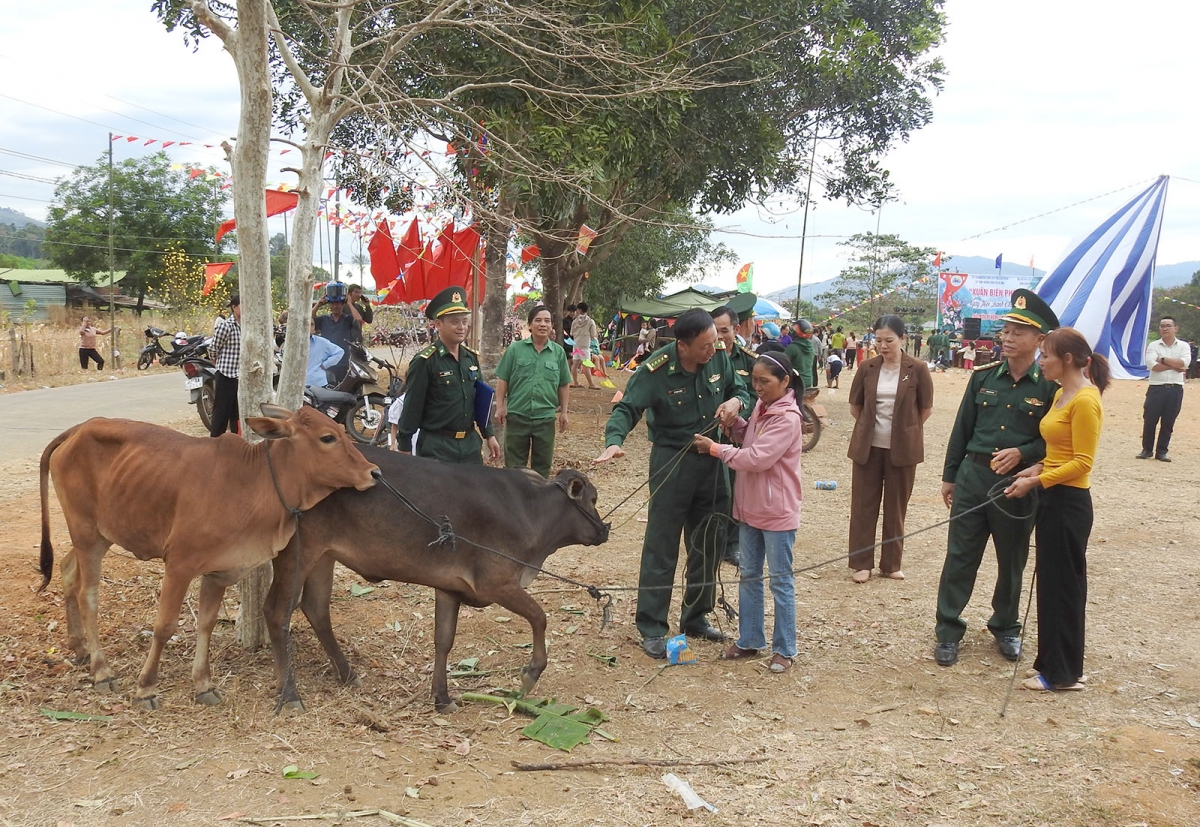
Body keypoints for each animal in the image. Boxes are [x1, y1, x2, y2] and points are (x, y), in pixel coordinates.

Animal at [38, 403, 374, 705]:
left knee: (67, 571)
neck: (256, 482)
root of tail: (78, 429)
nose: (374, 472)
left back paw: (80, 649)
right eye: (327, 438)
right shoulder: (178, 564)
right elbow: (164, 627)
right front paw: (146, 688)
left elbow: (206, 624)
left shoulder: (218, 572)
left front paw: (203, 684)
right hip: (86, 533)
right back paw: (102, 670)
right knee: (88, 596)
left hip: (100, 533)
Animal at [258, 448, 604, 710]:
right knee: (277, 612)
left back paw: (347, 673)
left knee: (316, 608)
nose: (604, 530)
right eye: (593, 499)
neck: (532, 511)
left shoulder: (450, 586)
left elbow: (444, 639)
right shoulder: (497, 582)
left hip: (323, 556)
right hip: (298, 552)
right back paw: (290, 694)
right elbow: (539, 617)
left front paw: (442, 696)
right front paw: (531, 673)